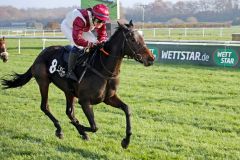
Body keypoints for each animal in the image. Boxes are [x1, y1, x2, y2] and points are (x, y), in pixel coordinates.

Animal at [0, 20, 155, 148]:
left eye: (142, 37)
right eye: (133, 39)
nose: (151, 58)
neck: (102, 69)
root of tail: (40, 54)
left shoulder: (109, 98)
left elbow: (127, 109)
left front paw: (126, 141)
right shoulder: (85, 101)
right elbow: (94, 126)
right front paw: (80, 128)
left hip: (68, 91)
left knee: (69, 111)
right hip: (43, 82)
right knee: (45, 106)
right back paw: (60, 129)